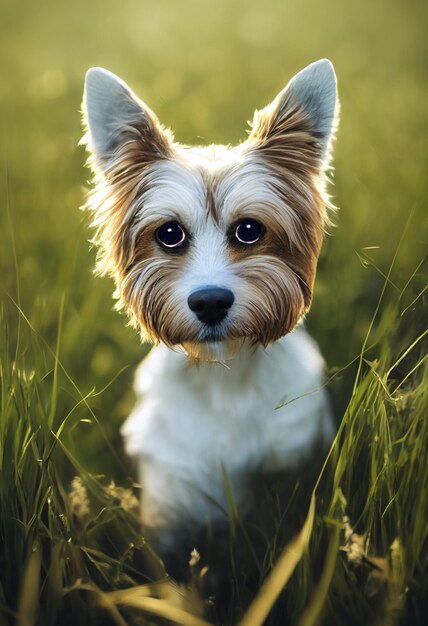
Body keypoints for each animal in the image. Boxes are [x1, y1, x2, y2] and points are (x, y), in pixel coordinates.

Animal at [82, 57, 340, 584]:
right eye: (169, 234)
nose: (210, 302)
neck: (226, 377)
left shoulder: (294, 471)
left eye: (250, 230)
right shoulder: (169, 510)